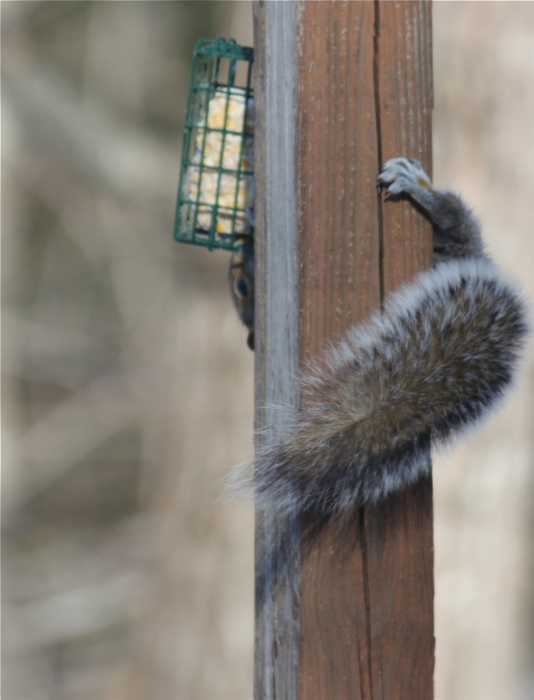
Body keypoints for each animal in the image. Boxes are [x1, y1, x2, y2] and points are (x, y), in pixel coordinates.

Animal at [228, 159, 528, 520]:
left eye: (241, 285)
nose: (237, 258)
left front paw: (251, 224)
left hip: (457, 239)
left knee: (455, 217)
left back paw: (420, 189)